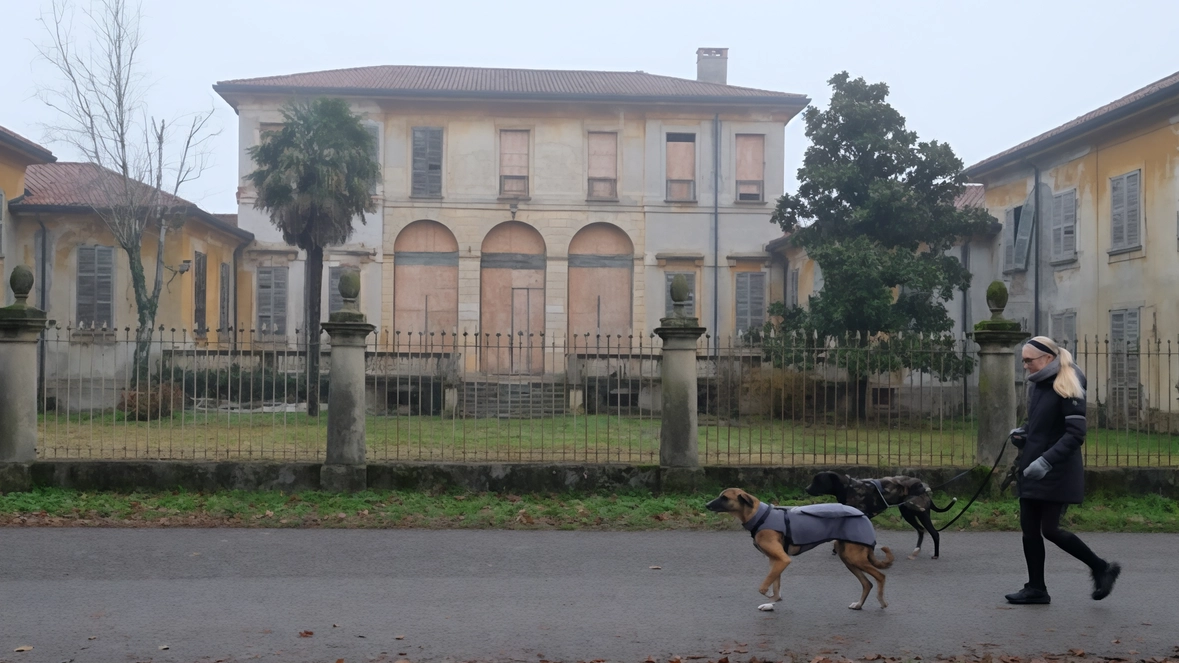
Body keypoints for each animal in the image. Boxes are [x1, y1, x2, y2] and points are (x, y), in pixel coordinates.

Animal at [707, 486, 891, 608]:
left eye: (724, 498)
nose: (707, 505)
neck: (760, 516)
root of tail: (864, 516)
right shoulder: (776, 561)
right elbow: (776, 584)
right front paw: (772, 602)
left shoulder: (782, 560)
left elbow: (764, 587)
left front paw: (769, 597)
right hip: (848, 559)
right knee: (867, 583)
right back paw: (859, 604)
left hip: (854, 558)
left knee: (880, 577)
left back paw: (882, 601)